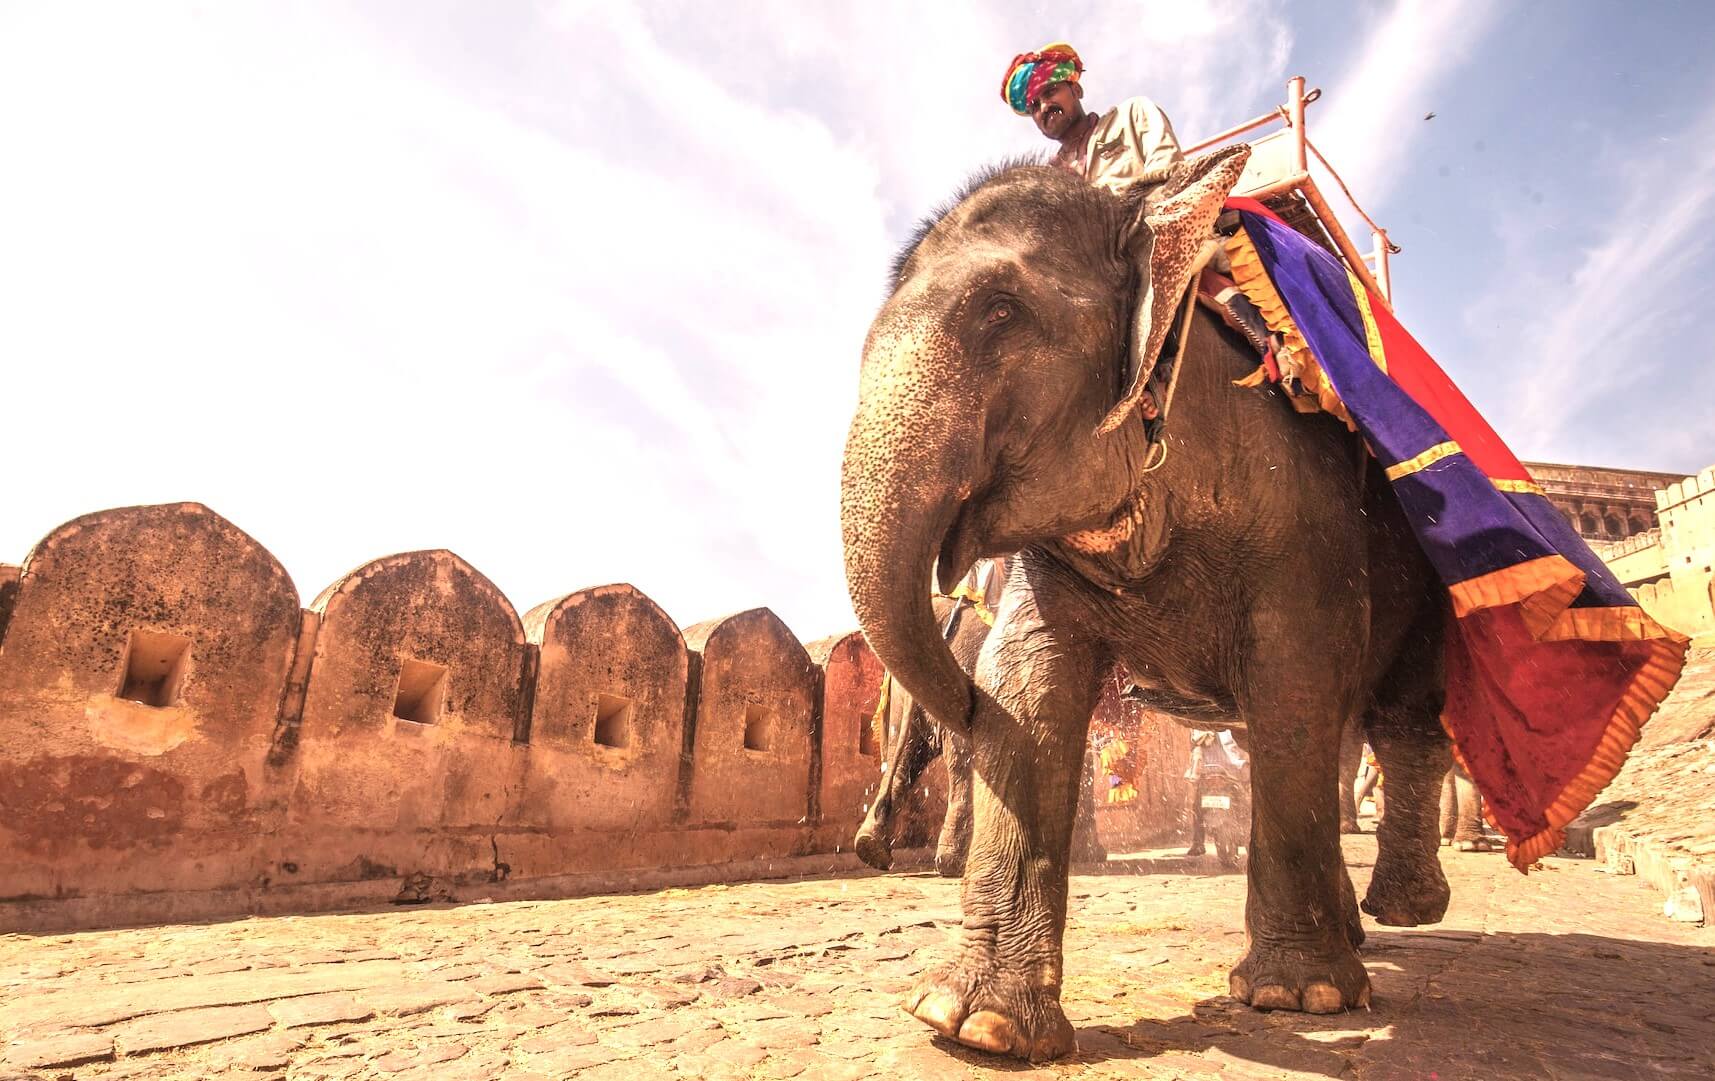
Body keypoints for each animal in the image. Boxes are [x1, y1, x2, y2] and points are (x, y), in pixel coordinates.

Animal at [840, 160, 1454, 1061]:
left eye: (1000, 312)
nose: (869, 842)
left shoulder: (1303, 509)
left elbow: (1296, 679)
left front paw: (1296, 998)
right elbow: (1025, 685)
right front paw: (974, 1024)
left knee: (1396, 719)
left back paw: (1401, 911)